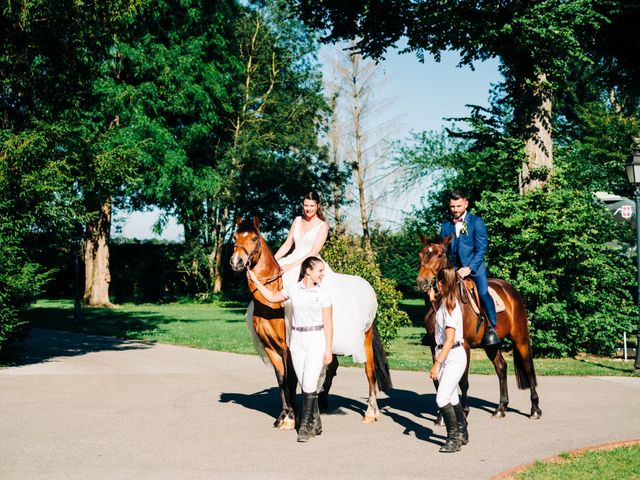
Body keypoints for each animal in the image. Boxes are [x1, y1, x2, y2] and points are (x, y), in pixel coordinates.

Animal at [228, 218, 392, 428]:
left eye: (254, 238)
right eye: (235, 236)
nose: (236, 261)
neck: (272, 301)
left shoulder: (288, 348)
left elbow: (290, 380)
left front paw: (291, 418)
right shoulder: (270, 347)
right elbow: (281, 380)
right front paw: (284, 415)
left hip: (365, 339)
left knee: (370, 372)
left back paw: (371, 412)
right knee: (331, 367)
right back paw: (321, 403)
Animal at [418, 232, 544, 420]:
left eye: (440, 255)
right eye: (421, 254)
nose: (422, 282)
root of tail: (510, 289)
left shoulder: (464, 346)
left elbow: (463, 380)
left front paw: (464, 411)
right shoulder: (435, 346)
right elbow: (438, 380)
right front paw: (441, 416)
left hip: (520, 339)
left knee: (528, 368)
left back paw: (535, 409)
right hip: (491, 345)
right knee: (501, 367)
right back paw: (500, 408)